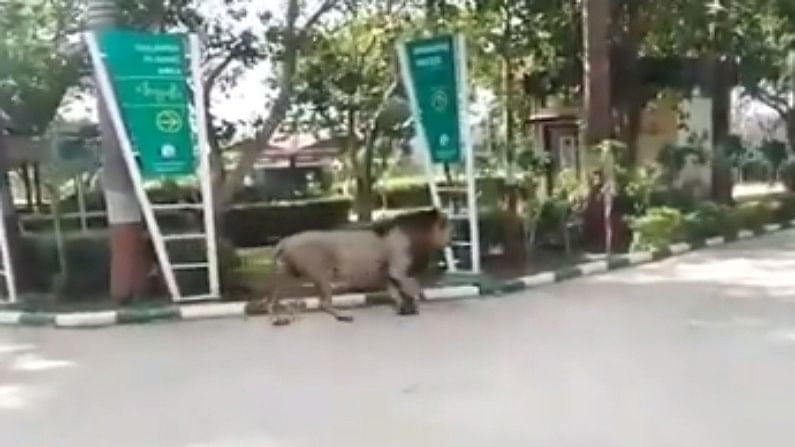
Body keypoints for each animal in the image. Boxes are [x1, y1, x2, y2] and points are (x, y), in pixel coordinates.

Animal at [260, 208, 450, 328]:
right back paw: (343, 316)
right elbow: (414, 289)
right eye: (449, 227)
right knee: (323, 303)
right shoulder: (398, 270)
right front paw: (415, 306)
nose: (451, 240)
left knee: (271, 298)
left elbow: (396, 293)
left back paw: (278, 319)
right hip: (320, 274)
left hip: (289, 274)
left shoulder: (388, 274)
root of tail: (285, 241)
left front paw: (403, 310)